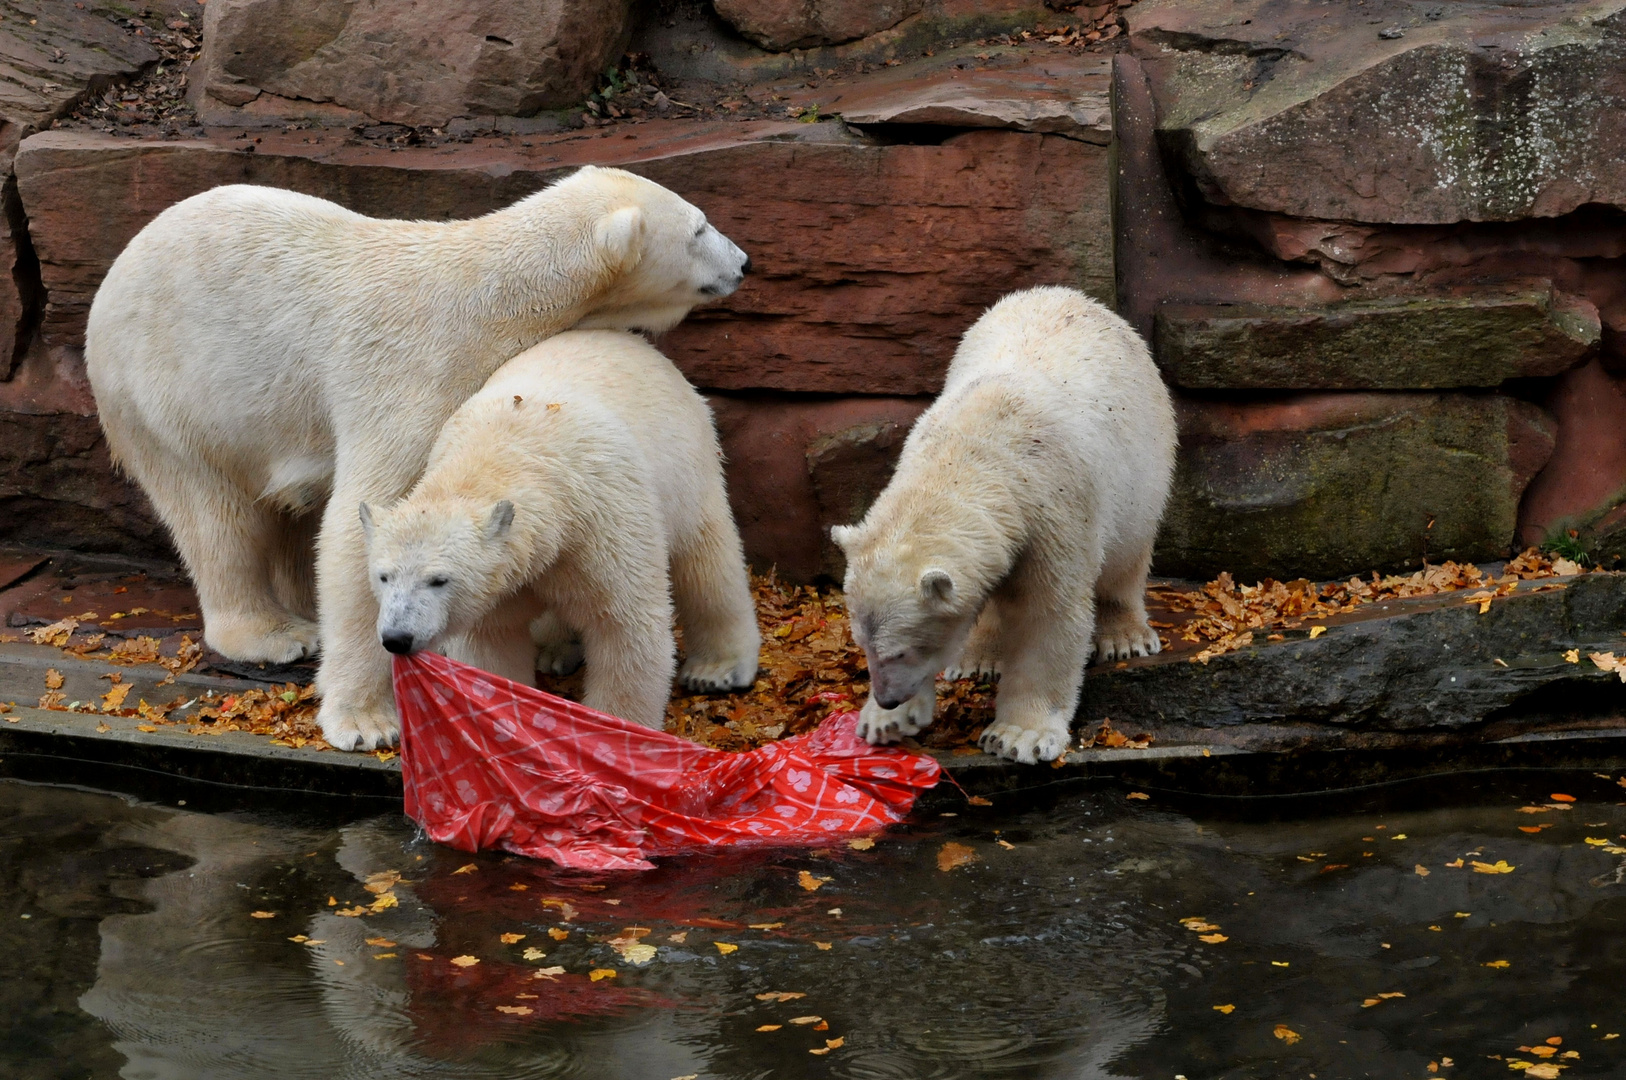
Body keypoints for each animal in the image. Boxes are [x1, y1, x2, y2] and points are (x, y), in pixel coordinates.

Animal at [357, 331, 760, 725]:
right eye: (383, 576)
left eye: (439, 580)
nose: (397, 637)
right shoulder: (504, 582)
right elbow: (494, 642)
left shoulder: (603, 518)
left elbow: (625, 629)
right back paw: (556, 651)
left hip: (687, 461)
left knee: (706, 560)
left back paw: (716, 669)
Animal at [832, 283, 1177, 764]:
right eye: (863, 647)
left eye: (901, 652)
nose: (887, 697)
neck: (974, 453)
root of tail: (1071, 295)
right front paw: (885, 722)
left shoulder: (1053, 507)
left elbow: (1046, 615)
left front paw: (1019, 735)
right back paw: (979, 658)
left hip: (1143, 455)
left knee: (1127, 550)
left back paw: (1126, 635)